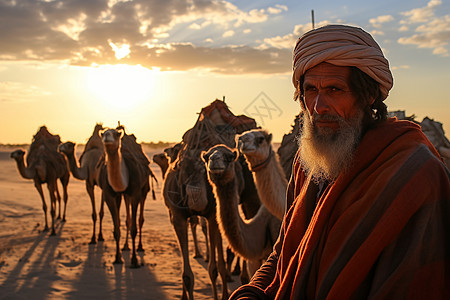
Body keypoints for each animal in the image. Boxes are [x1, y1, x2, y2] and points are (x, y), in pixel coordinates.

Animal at [96, 125, 152, 268]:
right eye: (103, 133)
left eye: (115, 134)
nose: (107, 137)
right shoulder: (110, 196)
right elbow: (116, 229)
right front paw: (117, 258)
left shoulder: (135, 193)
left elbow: (134, 229)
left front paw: (134, 261)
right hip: (124, 196)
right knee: (127, 218)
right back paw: (125, 247)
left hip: (144, 189)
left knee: (140, 219)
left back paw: (140, 247)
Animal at [163, 148, 229, 300]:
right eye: (179, 166)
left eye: (204, 169)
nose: (194, 191)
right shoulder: (177, 216)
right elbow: (187, 276)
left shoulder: (212, 215)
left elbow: (213, 269)